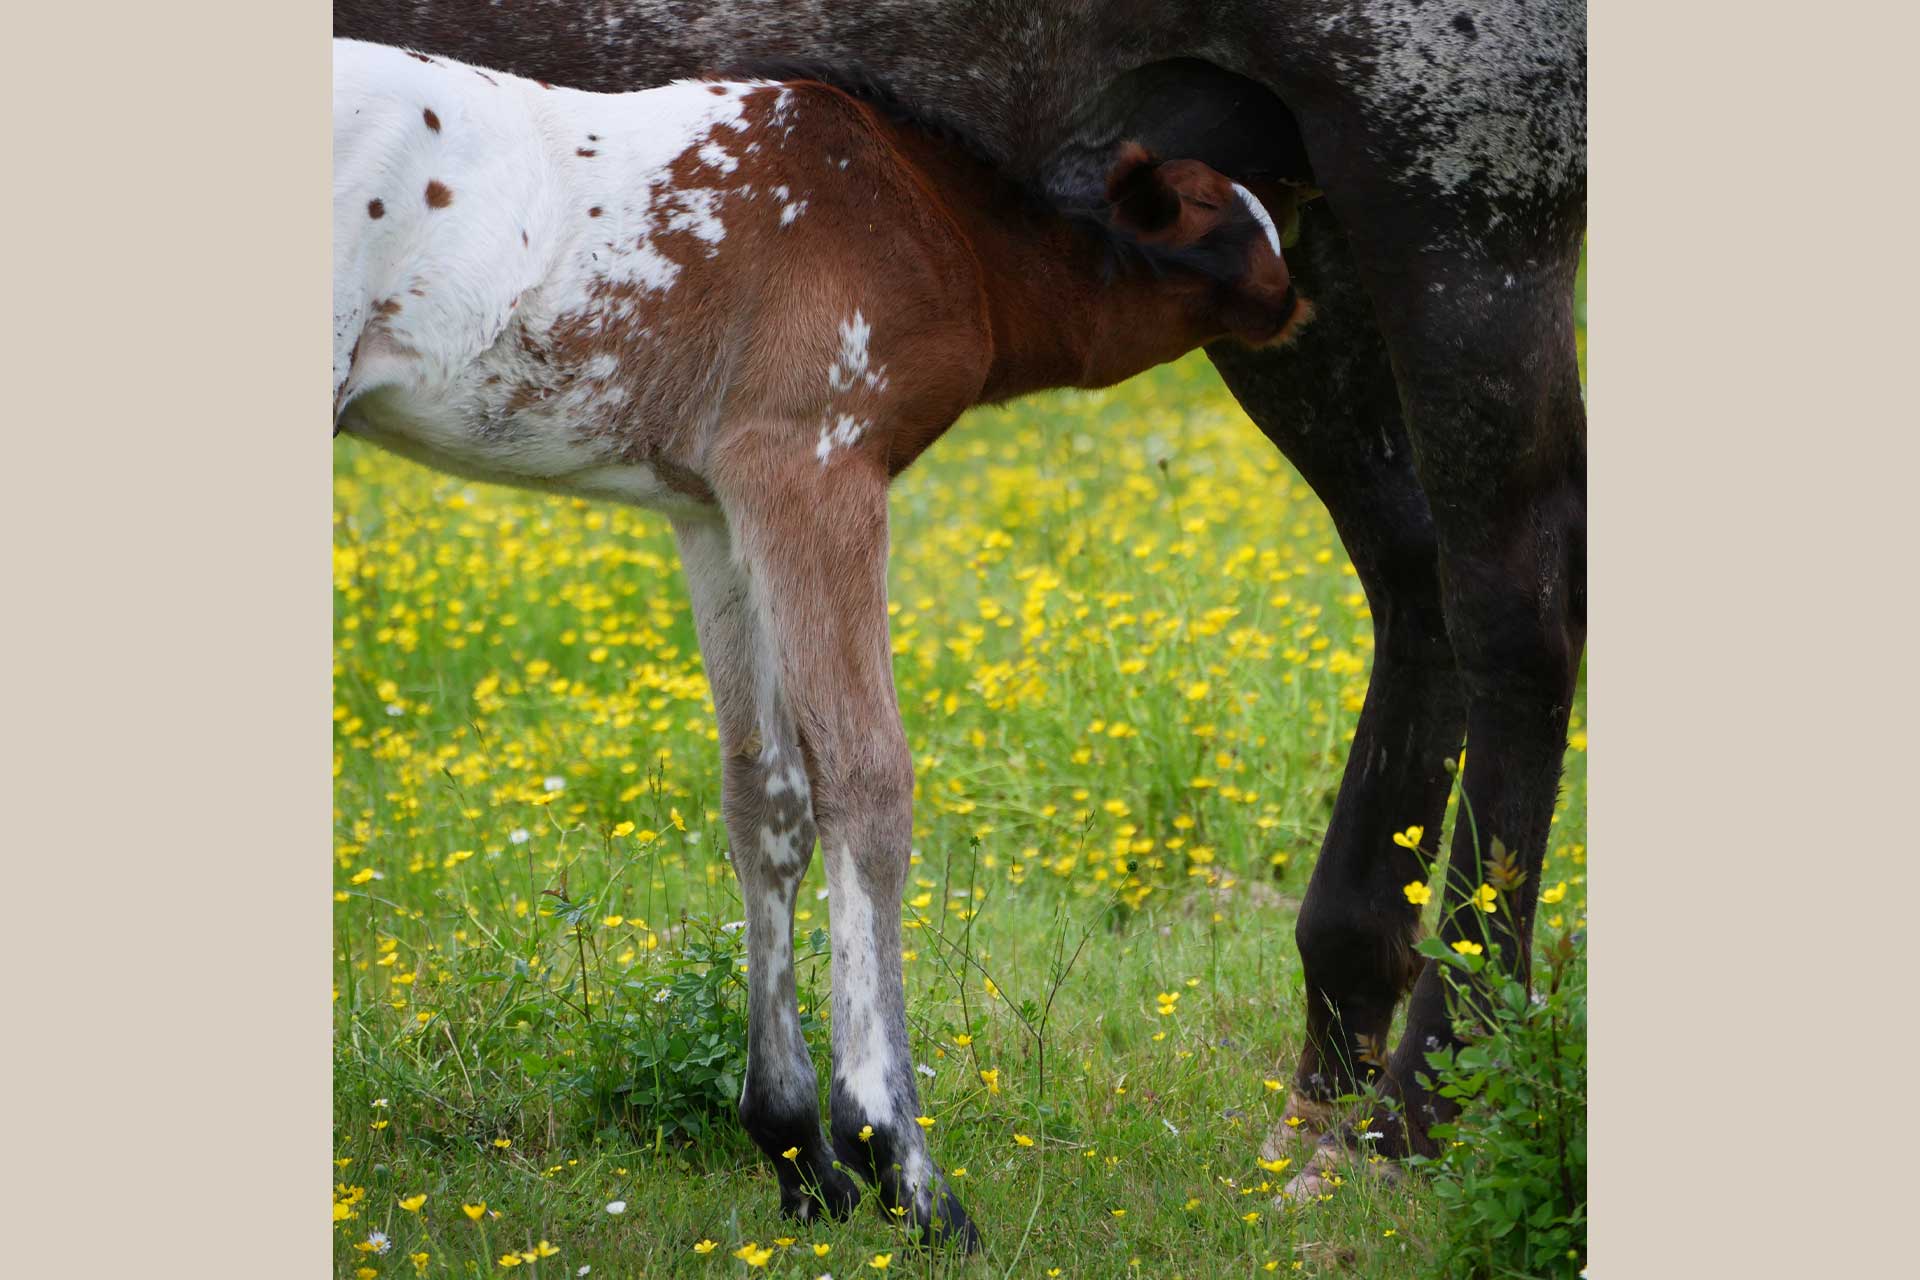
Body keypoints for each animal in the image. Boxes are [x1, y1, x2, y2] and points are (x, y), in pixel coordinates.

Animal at [334, 0, 1589, 1243]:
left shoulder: (716, 502)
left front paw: (800, 1153)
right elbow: (865, 784)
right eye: (1204, 218)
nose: (1293, 295)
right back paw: (1403, 1115)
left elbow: (764, 798)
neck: (898, 200)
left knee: (1475, 589)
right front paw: (899, 1162)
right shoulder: (809, 464)